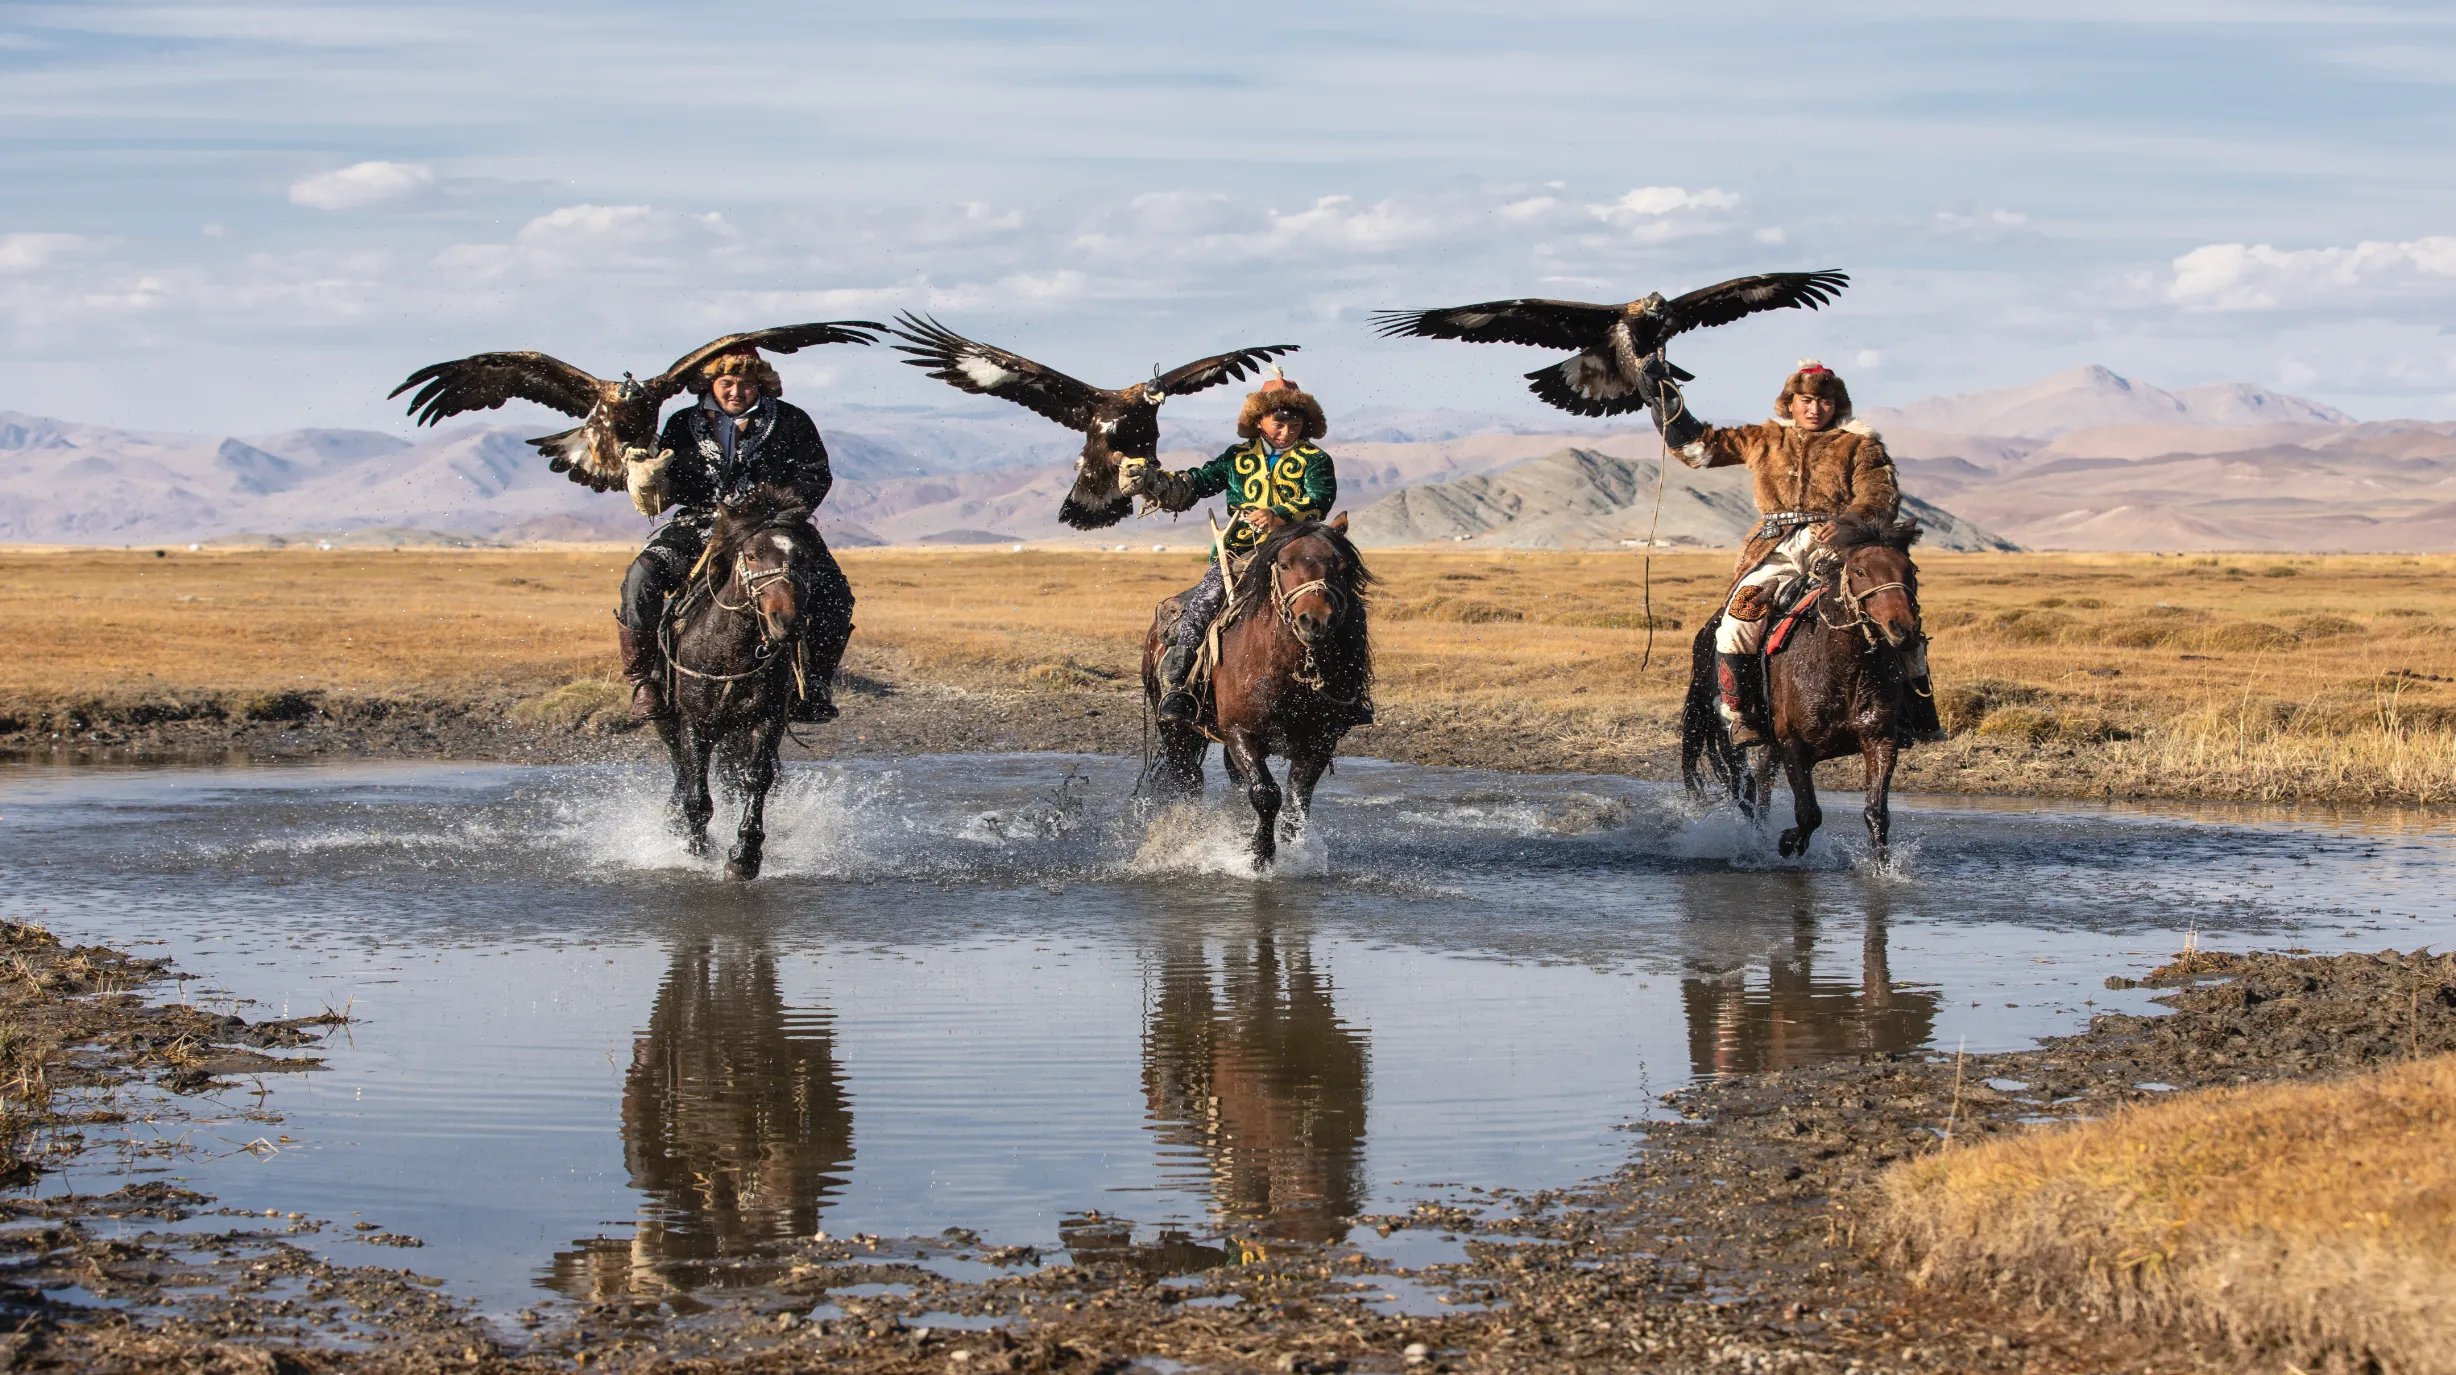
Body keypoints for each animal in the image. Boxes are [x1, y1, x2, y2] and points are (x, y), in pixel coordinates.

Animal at [658, 486, 830, 879]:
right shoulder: (694, 723)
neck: (729, 652)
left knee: (731, 778)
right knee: (680, 771)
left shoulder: (765, 721)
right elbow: (696, 792)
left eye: (803, 556)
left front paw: (744, 855)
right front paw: (698, 849)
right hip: (668, 722)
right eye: (751, 555)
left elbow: (756, 778)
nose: (787, 621)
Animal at [1139, 513, 1375, 859]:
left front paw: (1292, 853)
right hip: (1176, 729)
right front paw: (1260, 855)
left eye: (1343, 566)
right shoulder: (1241, 732)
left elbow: (1297, 804)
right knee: (1188, 778)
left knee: (1233, 781)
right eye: (1285, 564)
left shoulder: (1319, 742)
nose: (1316, 621)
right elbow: (1266, 793)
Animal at [1679, 515, 1925, 859]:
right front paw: (1788, 842)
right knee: (1746, 791)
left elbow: (1876, 814)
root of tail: (1705, 632)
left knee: (1762, 783)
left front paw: (1882, 866)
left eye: (1910, 569)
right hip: (1727, 735)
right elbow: (1808, 812)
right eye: (1860, 571)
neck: (1846, 672)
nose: (1903, 628)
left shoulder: (1881, 739)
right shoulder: (1793, 744)